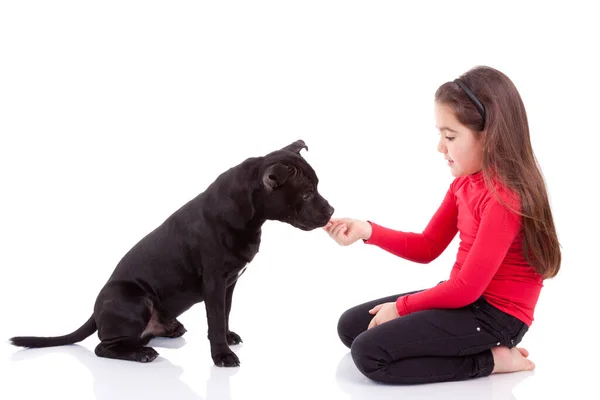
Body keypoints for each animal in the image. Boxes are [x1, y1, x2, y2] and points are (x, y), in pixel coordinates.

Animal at [9, 140, 336, 366]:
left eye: (318, 187)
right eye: (307, 193)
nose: (332, 210)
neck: (248, 210)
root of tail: (95, 312)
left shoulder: (230, 282)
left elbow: (225, 314)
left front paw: (227, 338)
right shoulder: (215, 282)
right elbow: (215, 318)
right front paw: (222, 355)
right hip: (134, 299)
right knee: (104, 346)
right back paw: (141, 353)